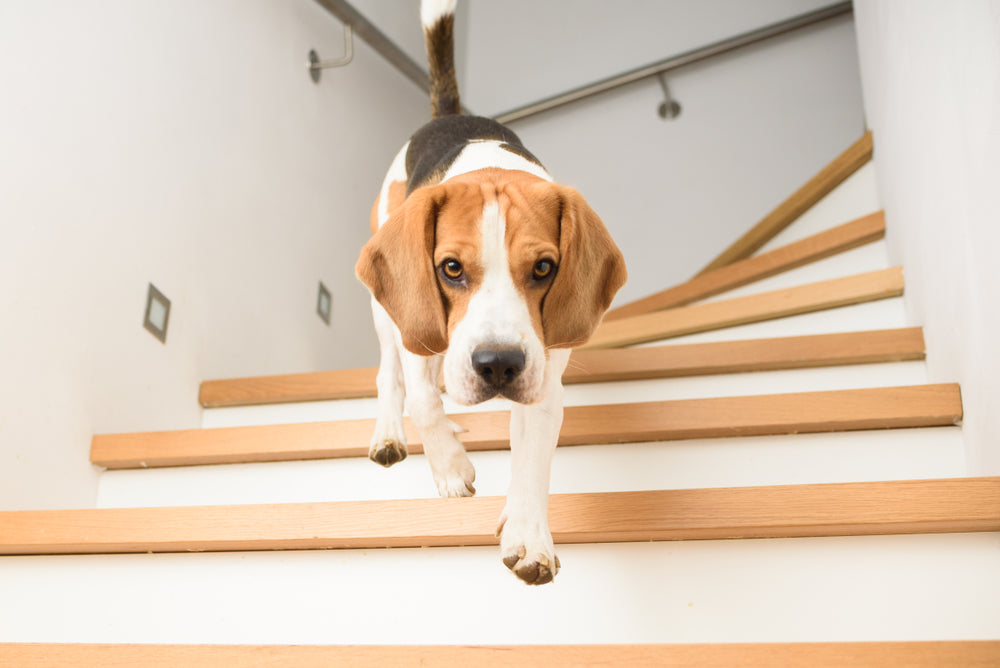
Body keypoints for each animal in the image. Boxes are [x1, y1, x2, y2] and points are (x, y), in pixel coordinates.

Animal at [354, 0, 624, 584]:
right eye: (451, 268)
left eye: (544, 267)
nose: (498, 364)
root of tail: (448, 114)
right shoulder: (418, 337)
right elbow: (424, 402)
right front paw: (452, 469)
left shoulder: (543, 378)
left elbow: (532, 461)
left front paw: (528, 536)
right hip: (387, 312)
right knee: (392, 377)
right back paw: (390, 434)